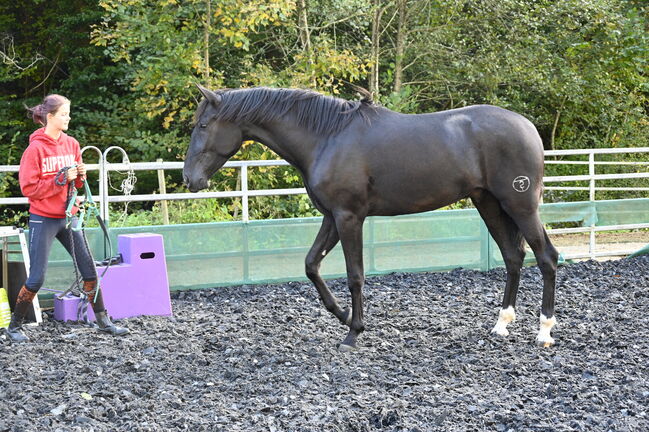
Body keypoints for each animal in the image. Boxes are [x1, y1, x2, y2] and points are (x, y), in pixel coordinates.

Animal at [182, 87, 556, 352]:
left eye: (203, 125)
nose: (189, 178)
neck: (327, 137)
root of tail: (528, 127)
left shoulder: (350, 218)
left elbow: (355, 275)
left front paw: (353, 332)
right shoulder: (331, 217)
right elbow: (311, 266)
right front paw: (344, 315)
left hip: (520, 206)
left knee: (546, 258)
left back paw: (544, 331)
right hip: (489, 204)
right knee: (513, 257)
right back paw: (501, 325)